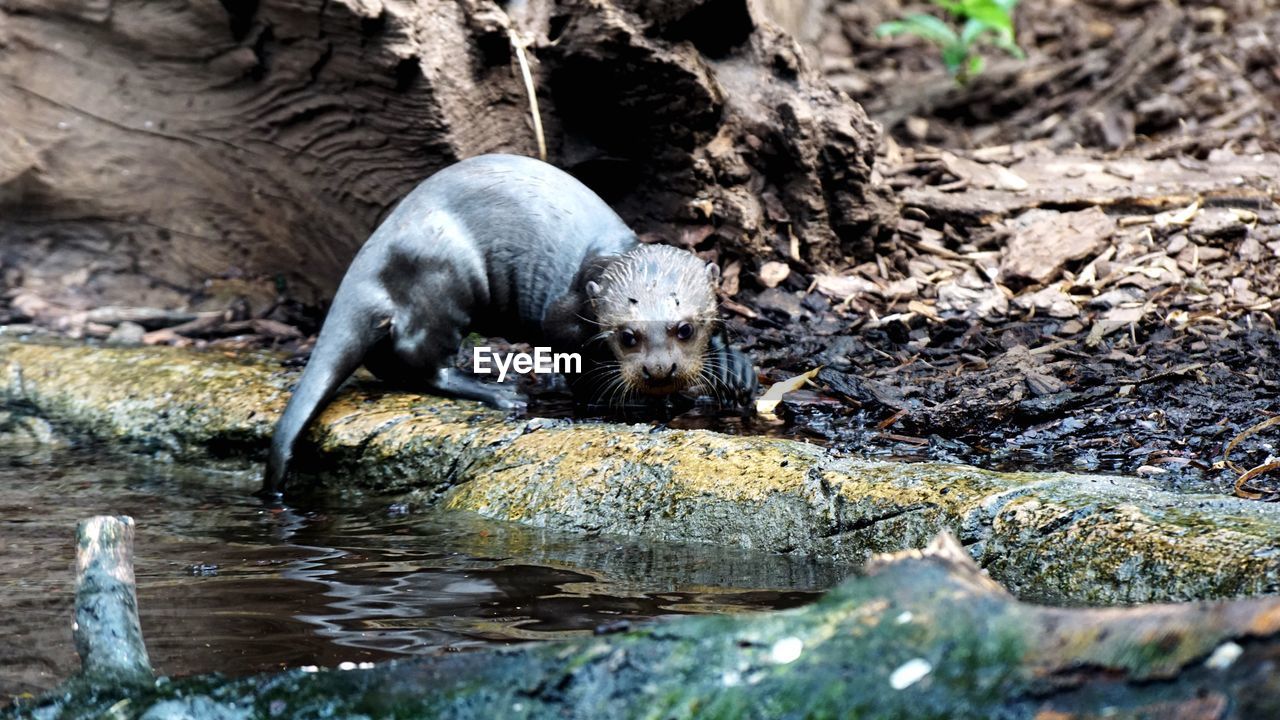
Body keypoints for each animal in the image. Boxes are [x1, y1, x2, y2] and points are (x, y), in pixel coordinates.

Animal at [264, 154, 752, 491]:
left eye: (684, 328)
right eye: (627, 336)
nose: (659, 370)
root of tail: (372, 256)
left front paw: (735, 371)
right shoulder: (563, 316)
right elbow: (578, 364)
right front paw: (622, 403)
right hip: (445, 277)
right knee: (421, 359)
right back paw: (501, 391)